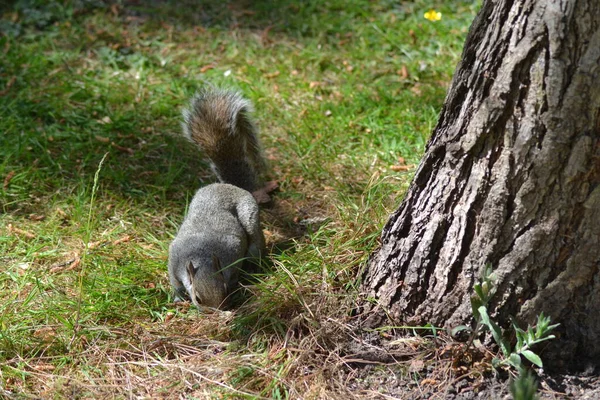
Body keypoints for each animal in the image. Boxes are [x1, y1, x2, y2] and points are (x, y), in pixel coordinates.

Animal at [166, 88, 264, 310]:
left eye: (225, 290)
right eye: (198, 298)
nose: (218, 312)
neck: (201, 256)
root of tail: (231, 186)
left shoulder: (233, 252)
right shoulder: (174, 261)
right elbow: (175, 283)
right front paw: (178, 297)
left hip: (250, 217)